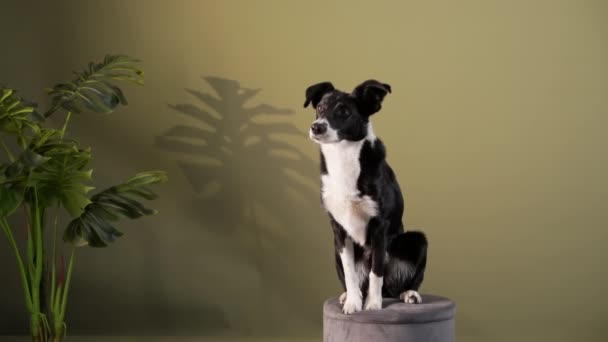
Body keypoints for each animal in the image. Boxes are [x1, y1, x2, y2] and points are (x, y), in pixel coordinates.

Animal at [304, 79, 428, 312]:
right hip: (334, 249)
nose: (316, 127)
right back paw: (347, 295)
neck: (343, 157)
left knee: (404, 281)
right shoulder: (338, 229)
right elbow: (350, 273)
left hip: (417, 240)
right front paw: (353, 302)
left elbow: (376, 272)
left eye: (344, 111)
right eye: (320, 108)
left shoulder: (380, 225)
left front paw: (372, 305)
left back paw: (409, 293)